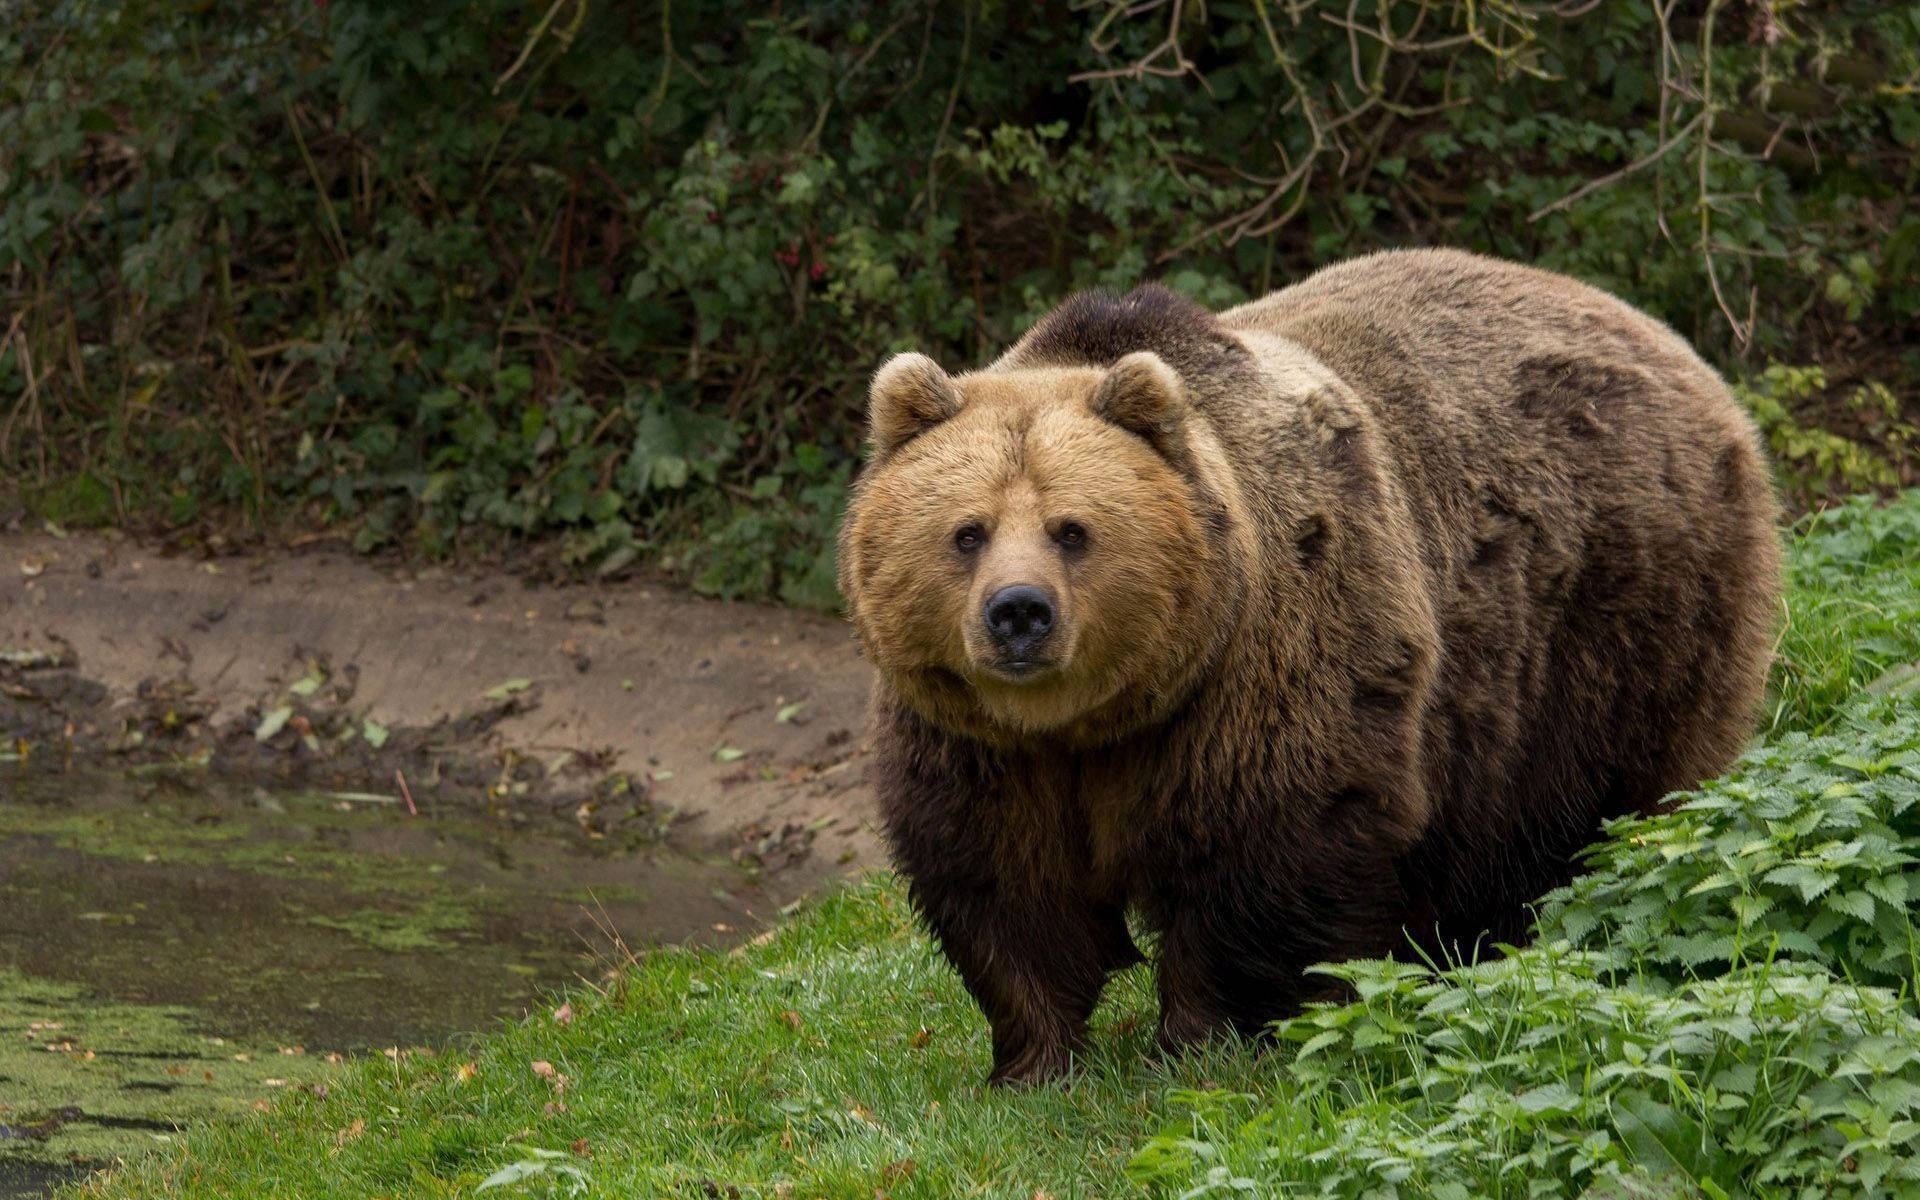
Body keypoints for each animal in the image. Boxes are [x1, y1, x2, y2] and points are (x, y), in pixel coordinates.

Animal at [840, 247, 1781, 1082]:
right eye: (967, 531)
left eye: (1073, 530)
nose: (1018, 614)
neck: (1095, 721)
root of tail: (1663, 338)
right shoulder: (974, 741)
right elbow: (1002, 881)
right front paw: (1031, 1061)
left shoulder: (1269, 659)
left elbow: (1265, 846)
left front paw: (1205, 1037)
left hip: (1623, 620)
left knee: (1600, 804)